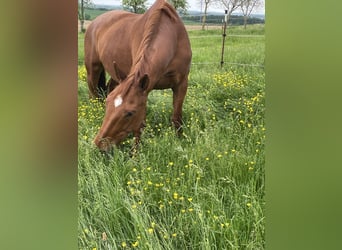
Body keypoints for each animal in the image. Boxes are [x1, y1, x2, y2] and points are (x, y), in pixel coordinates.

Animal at [84, 0, 192, 151]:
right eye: (108, 103)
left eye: (130, 113)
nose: (100, 145)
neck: (172, 36)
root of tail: (95, 22)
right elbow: (140, 126)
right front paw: (135, 152)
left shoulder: (181, 84)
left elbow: (176, 117)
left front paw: (179, 141)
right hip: (93, 70)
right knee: (93, 94)